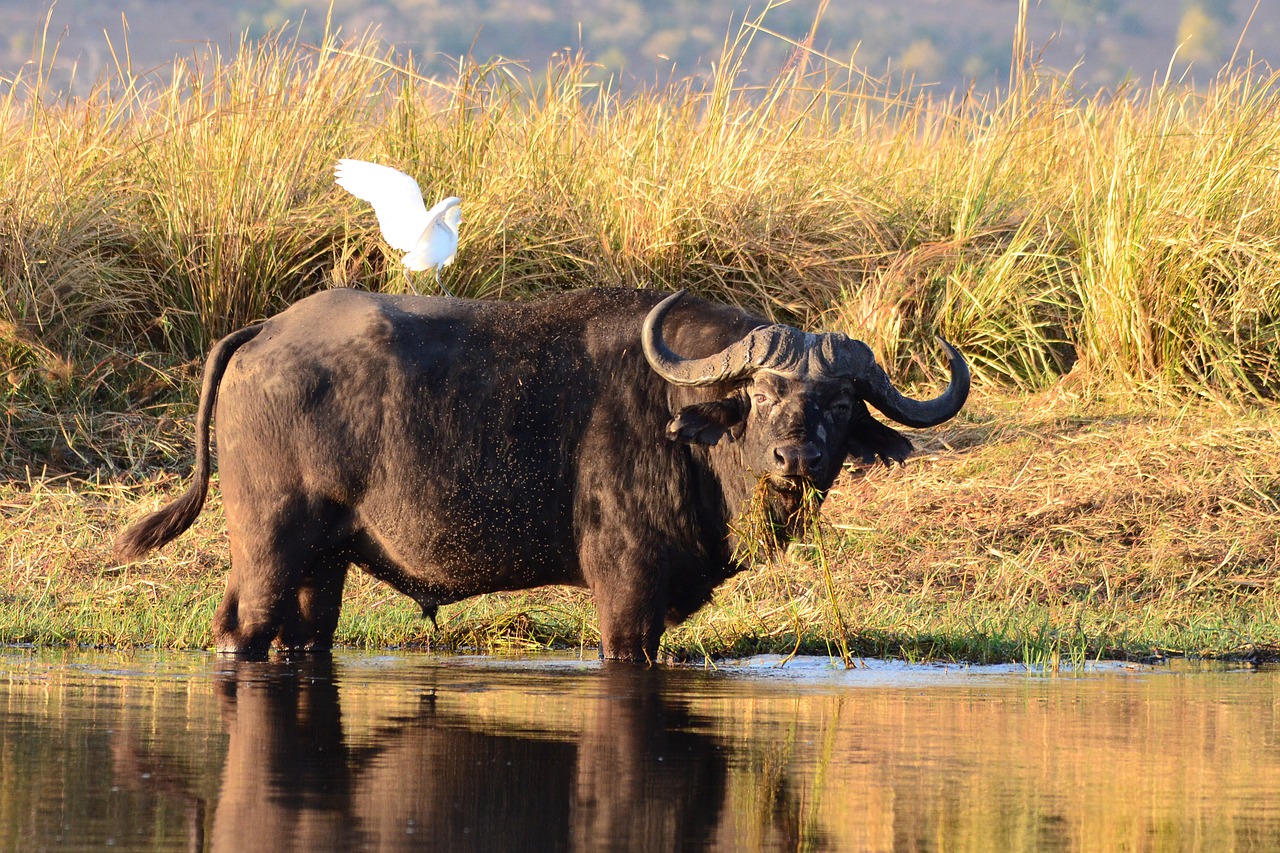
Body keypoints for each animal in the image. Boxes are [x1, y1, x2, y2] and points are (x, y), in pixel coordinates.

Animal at [115, 285, 962, 655]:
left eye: (840, 401)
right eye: (761, 391)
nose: (797, 457)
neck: (684, 428)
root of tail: (264, 333)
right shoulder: (626, 587)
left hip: (320, 560)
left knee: (304, 633)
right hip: (269, 542)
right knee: (240, 628)